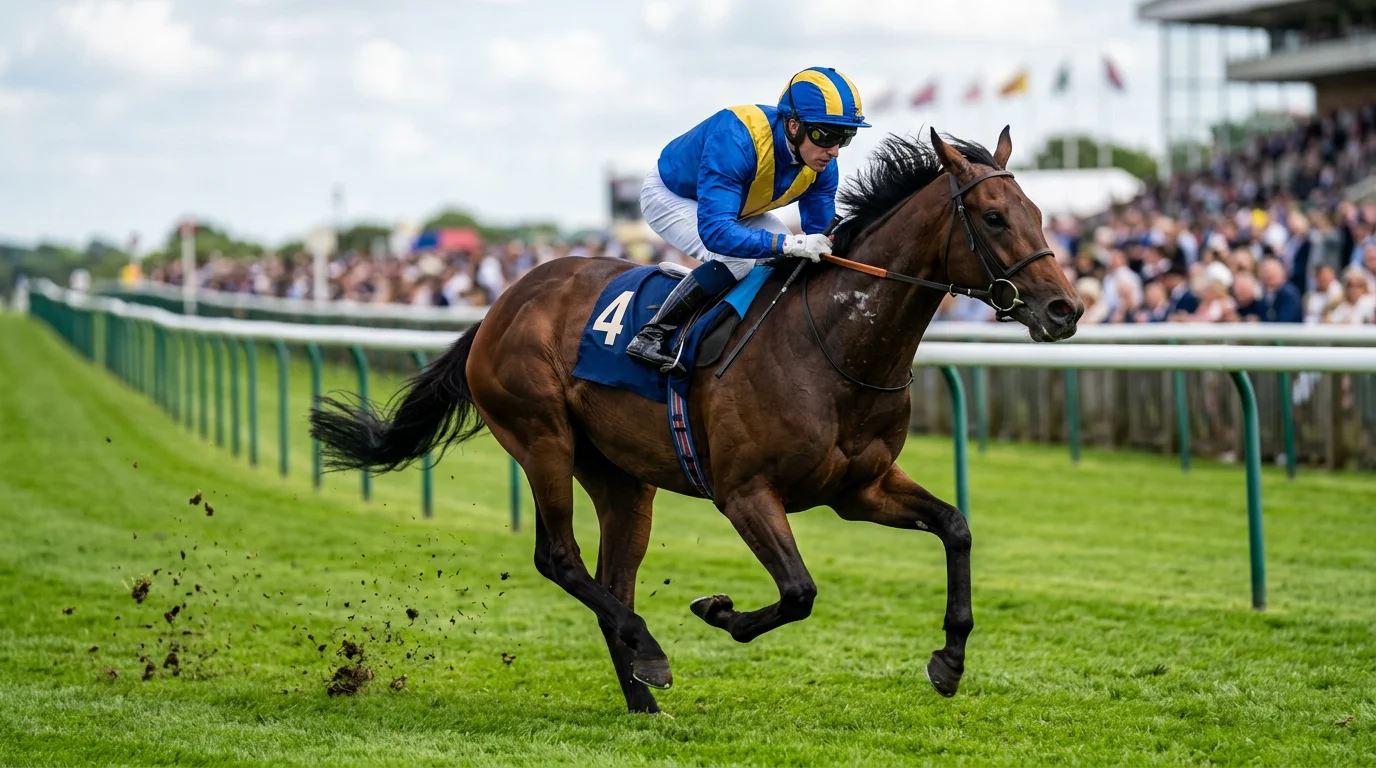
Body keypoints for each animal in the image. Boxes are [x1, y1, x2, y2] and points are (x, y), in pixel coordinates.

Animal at [310, 127, 1084, 714]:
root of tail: (501, 306)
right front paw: (720, 612)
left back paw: (642, 696)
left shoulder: (858, 489)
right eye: (994, 217)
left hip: (621, 478)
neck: (834, 343)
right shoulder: (744, 492)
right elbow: (798, 592)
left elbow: (955, 526)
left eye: (1042, 214)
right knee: (559, 558)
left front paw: (949, 659)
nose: (1064, 309)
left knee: (611, 579)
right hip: (541, 439)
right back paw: (650, 656)